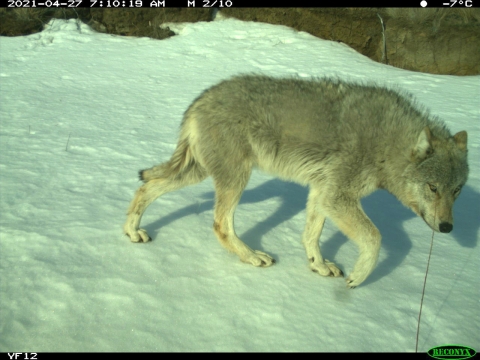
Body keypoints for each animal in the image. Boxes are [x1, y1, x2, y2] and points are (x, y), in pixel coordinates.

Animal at [124, 74, 468, 288]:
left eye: (456, 191)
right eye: (433, 188)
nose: (448, 228)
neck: (387, 143)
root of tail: (199, 100)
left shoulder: (322, 191)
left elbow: (310, 236)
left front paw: (318, 266)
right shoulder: (337, 196)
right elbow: (374, 238)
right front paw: (358, 277)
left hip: (199, 173)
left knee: (146, 187)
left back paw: (132, 232)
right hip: (236, 180)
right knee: (221, 224)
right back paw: (252, 256)